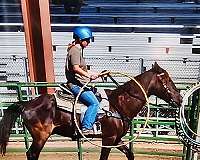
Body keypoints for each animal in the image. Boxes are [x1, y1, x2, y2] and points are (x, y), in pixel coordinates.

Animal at [0, 62, 181, 160]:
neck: (118, 104)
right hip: (40, 137)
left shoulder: (116, 139)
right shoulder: (108, 139)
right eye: (167, 80)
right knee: (32, 154)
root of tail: (27, 104)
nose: (179, 99)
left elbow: (130, 154)